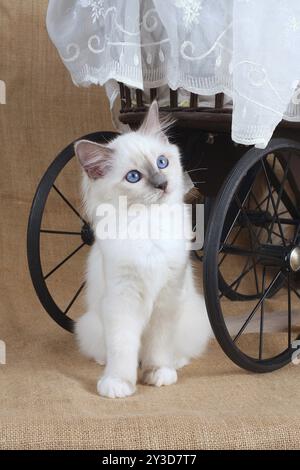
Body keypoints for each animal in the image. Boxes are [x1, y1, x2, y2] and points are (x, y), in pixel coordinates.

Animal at [74, 102, 211, 396]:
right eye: (134, 177)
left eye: (162, 162)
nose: (162, 184)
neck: (148, 226)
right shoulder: (123, 297)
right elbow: (123, 346)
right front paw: (118, 383)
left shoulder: (168, 296)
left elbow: (158, 346)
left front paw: (158, 373)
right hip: (90, 325)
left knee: (181, 349)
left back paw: (174, 363)